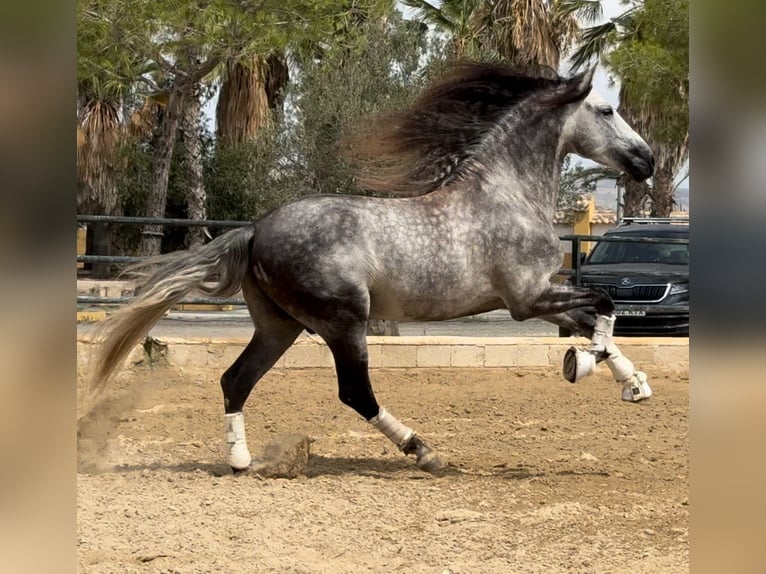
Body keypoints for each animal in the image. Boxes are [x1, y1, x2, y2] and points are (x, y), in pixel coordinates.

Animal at [88, 62, 656, 476]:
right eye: (607, 109)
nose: (647, 161)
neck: (506, 195)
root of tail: (256, 229)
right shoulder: (527, 299)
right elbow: (604, 306)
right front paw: (583, 364)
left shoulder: (539, 298)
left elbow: (597, 321)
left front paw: (633, 384)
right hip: (343, 320)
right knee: (354, 392)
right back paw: (425, 451)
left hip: (279, 326)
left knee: (235, 380)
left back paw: (241, 461)